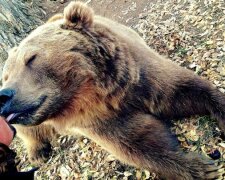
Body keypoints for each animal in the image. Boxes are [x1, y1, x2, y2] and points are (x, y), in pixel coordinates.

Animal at [0, 1, 225, 179]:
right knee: (28, 131)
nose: (4, 94)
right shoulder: (97, 118)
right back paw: (37, 153)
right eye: (6, 76)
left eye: (31, 58)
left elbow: (183, 90)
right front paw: (201, 168)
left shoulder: (140, 75)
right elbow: (134, 144)